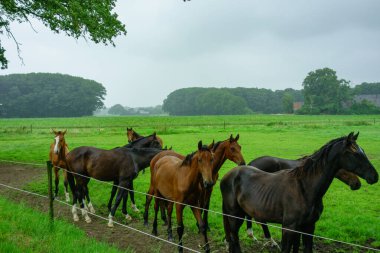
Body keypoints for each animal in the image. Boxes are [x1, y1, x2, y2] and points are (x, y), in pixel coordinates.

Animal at [221, 132, 378, 253]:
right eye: (354, 153)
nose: (374, 176)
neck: (305, 188)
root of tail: (229, 175)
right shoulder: (289, 228)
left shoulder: (308, 227)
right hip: (234, 216)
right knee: (235, 239)